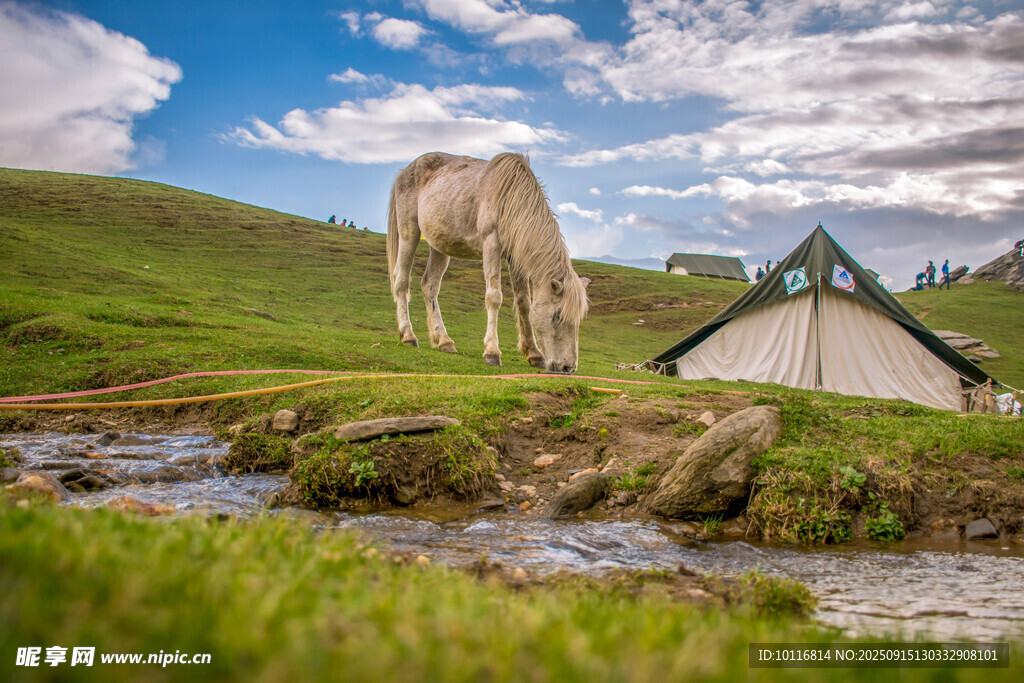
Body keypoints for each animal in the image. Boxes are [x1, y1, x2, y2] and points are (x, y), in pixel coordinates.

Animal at [386, 152, 589, 372]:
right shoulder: (491, 243)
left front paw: (533, 353)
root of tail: (405, 171)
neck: (509, 196)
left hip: (439, 246)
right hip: (409, 232)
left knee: (429, 286)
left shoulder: (515, 257)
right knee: (402, 281)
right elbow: (494, 297)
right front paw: (492, 352)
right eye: (558, 316)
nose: (568, 367)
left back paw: (443, 341)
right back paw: (408, 336)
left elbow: (524, 302)